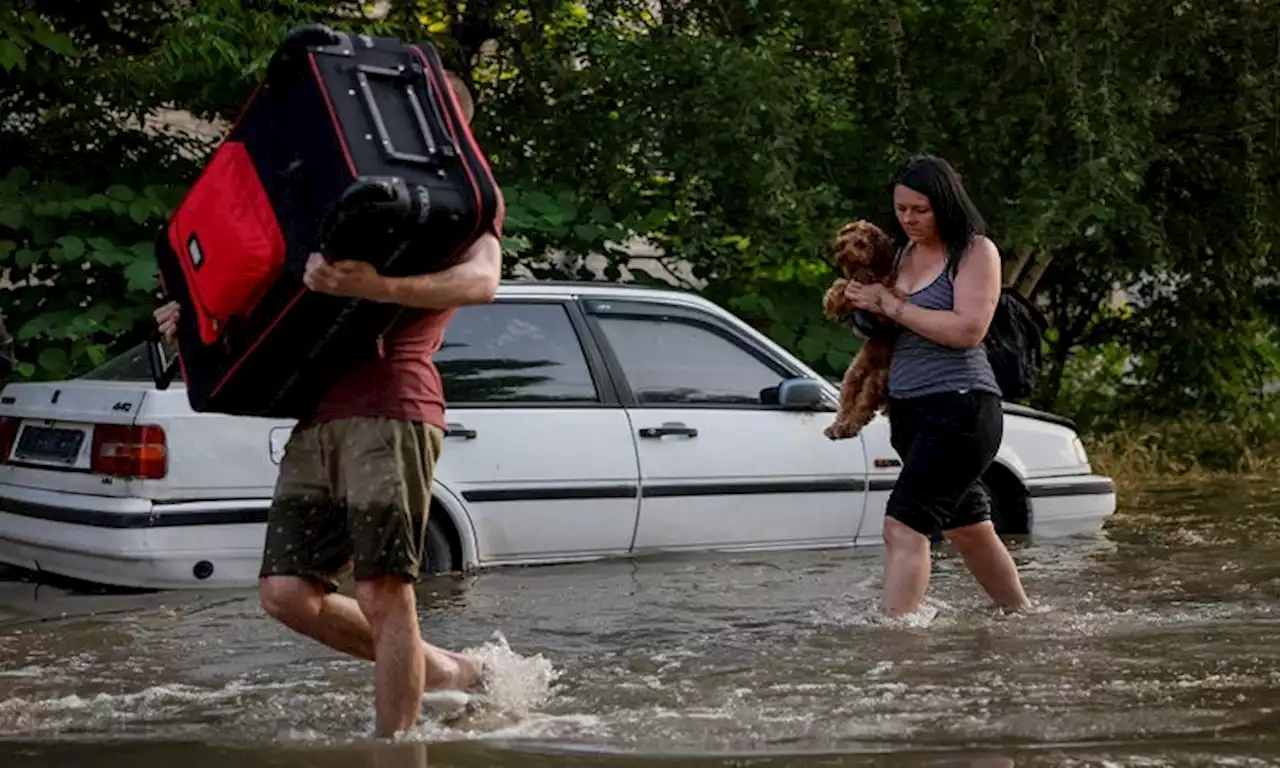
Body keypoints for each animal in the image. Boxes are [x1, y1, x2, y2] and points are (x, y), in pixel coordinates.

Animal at [824, 218, 906, 440]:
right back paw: (838, 427)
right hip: (854, 374)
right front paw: (833, 299)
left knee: (863, 409)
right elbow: (841, 285)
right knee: (848, 405)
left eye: (860, 243)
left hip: (877, 380)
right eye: (843, 242)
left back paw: (846, 426)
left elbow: (888, 293)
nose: (842, 253)